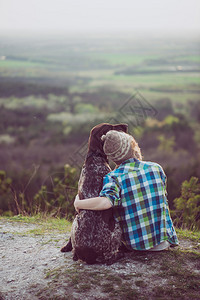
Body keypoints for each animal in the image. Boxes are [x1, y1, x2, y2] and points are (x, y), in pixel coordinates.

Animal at [61, 123, 128, 264]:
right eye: (112, 127)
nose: (125, 125)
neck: (94, 157)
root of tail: (89, 255)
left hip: (76, 220)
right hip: (117, 227)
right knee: (110, 258)